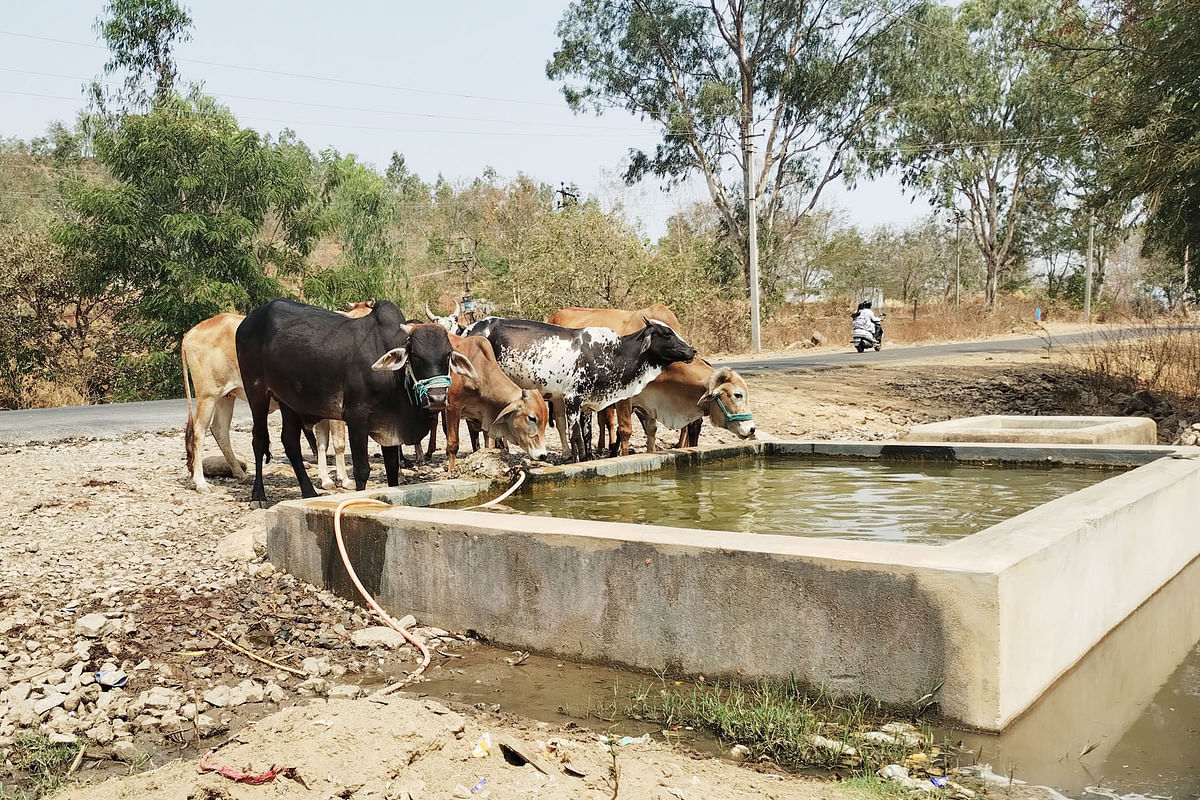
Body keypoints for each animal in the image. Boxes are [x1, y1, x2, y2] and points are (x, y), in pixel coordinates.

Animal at [180, 303, 369, 491]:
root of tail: (191, 332)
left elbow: (322, 442)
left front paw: (326, 479)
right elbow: (338, 443)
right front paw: (344, 480)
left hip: (226, 396)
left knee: (220, 430)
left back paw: (240, 474)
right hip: (208, 396)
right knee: (199, 432)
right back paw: (201, 483)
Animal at [234, 297, 477, 503]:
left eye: (448, 354)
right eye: (414, 354)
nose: (437, 398)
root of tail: (248, 320)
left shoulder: (390, 427)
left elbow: (392, 469)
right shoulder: (356, 418)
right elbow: (362, 470)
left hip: (289, 402)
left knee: (290, 442)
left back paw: (309, 492)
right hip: (256, 392)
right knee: (259, 440)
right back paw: (258, 495)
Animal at [439, 335, 549, 472]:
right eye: (532, 418)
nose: (543, 455)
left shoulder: (484, 415)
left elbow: (488, 446)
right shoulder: (452, 408)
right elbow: (453, 445)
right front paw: (451, 472)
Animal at [465, 316, 696, 460]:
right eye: (667, 333)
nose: (692, 351)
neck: (612, 353)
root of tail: (470, 328)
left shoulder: (586, 403)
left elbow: (587, 435)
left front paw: (587, 458)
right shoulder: (572, 398)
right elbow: (575, 436)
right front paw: (576, 460)